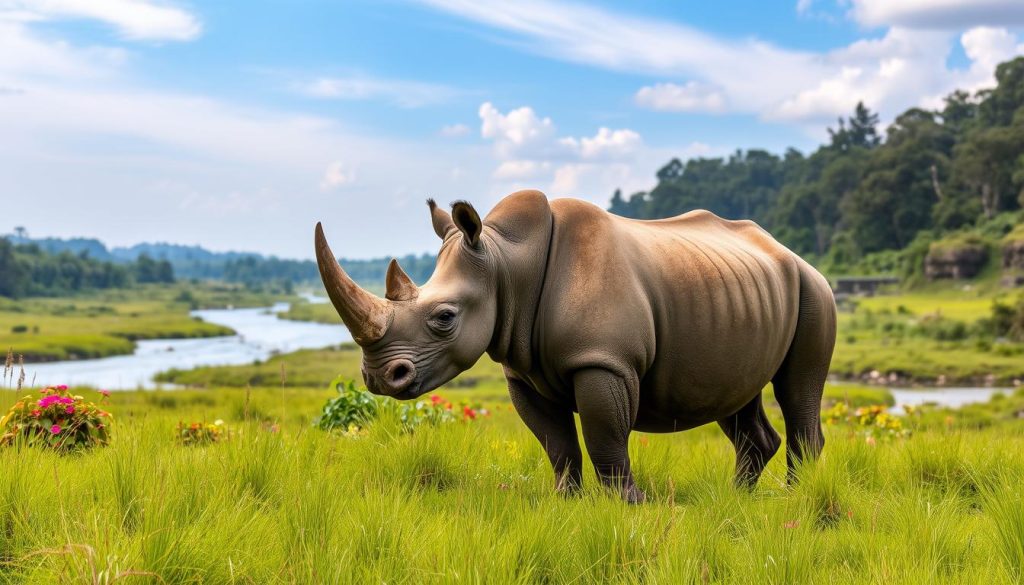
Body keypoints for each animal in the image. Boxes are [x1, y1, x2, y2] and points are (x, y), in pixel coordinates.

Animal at [315, 190, 836, 502]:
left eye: (444, 318)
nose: (379, 378)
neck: (507, 264)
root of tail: (787, 251)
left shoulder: (603, 361)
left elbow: (605, 436)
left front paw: (629, 506)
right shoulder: (522, 370)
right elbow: (558, 444)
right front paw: (565, 504)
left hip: (814, 290)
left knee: (798, 389)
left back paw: (796, 499)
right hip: (739, 296)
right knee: (734, 395)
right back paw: (737, 500)